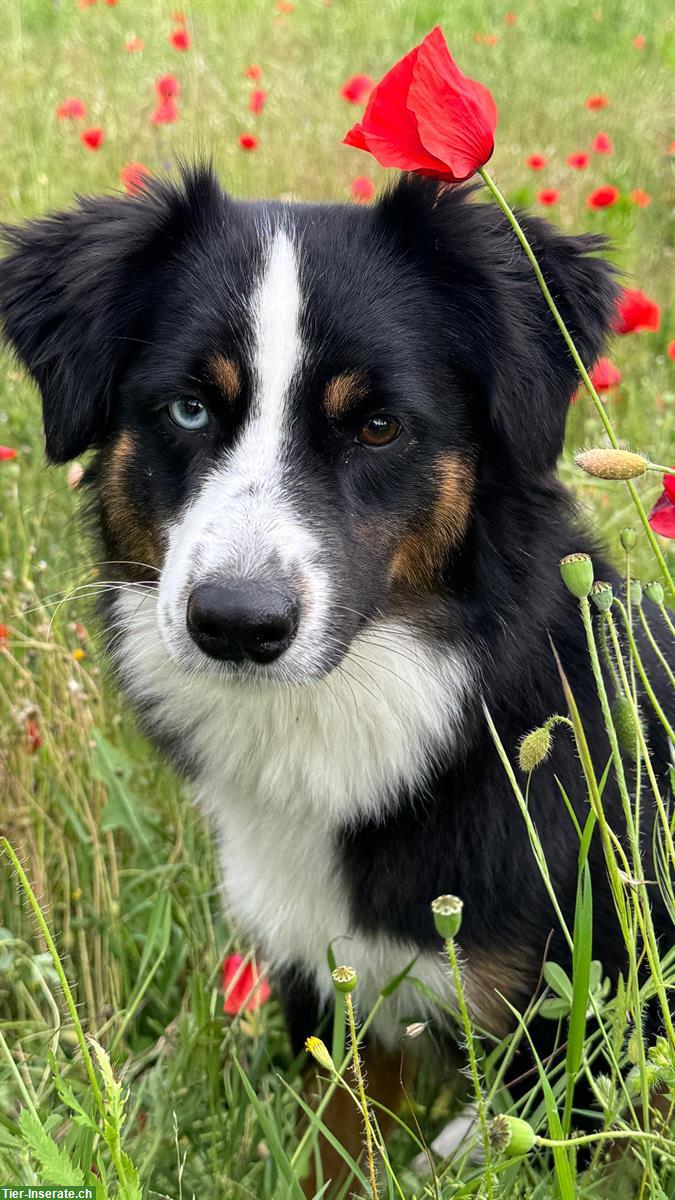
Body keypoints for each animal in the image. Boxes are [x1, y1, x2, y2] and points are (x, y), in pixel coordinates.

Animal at [0, 169, 667, 1190]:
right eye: (187, 408)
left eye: (378, 426)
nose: (237, 625)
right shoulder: (334, 993)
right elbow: (337, 1151)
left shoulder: (565, 1037)